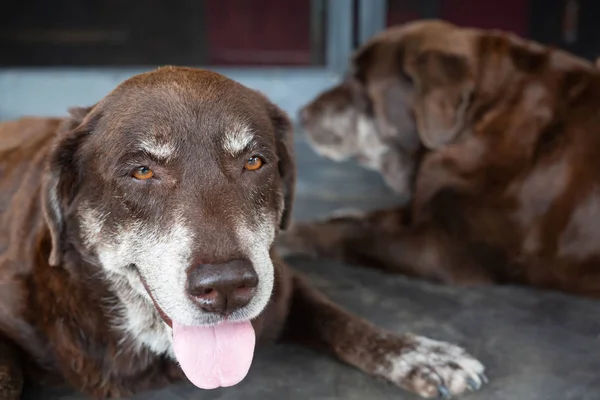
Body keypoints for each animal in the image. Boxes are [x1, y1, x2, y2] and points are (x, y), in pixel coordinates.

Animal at [0, 67, 486, 398]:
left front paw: (416, 354)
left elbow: (339, 318)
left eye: (254, 161)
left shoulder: (281, 283)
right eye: (142, 171)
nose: (227, 287)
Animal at [282, 20, 600, 298]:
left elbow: (354, 234)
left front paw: (296, 236)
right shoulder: (423, 207)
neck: (475, 122)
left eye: (360, 80)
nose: (302, 113)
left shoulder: (445, 249)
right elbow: (369, 217)